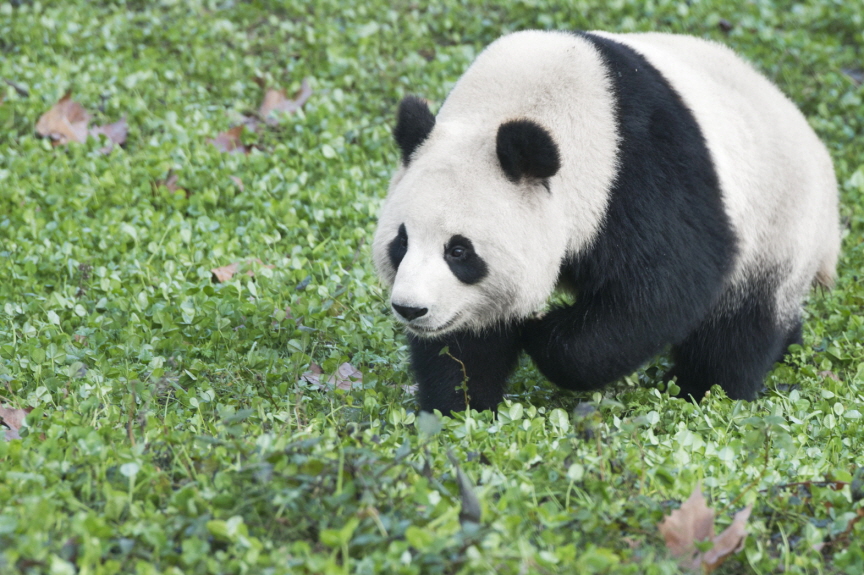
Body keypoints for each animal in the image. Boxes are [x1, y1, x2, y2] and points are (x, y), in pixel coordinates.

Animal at [370, 30, 836, 414]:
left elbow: (663, 286)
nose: (410, 309)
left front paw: (542, 333)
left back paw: (704, 389)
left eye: (459, 250)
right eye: (402, 242)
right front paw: (459, 407)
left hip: (777, 219)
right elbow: (465, 341)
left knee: (738, 326)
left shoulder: (642, 174)